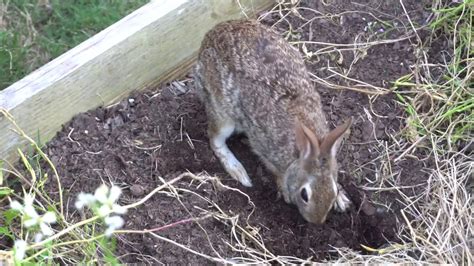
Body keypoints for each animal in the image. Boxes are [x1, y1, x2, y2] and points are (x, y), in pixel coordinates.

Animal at [193, 19, 352, 223]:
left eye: (332, 190)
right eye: (304, 194)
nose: (316, 221)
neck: (302, 151)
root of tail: (208, 38)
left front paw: (342, 200)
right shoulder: (266, 149)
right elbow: (275, 171)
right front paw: (284, 191)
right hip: (222, 112)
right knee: (215, 139)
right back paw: (238, 170)